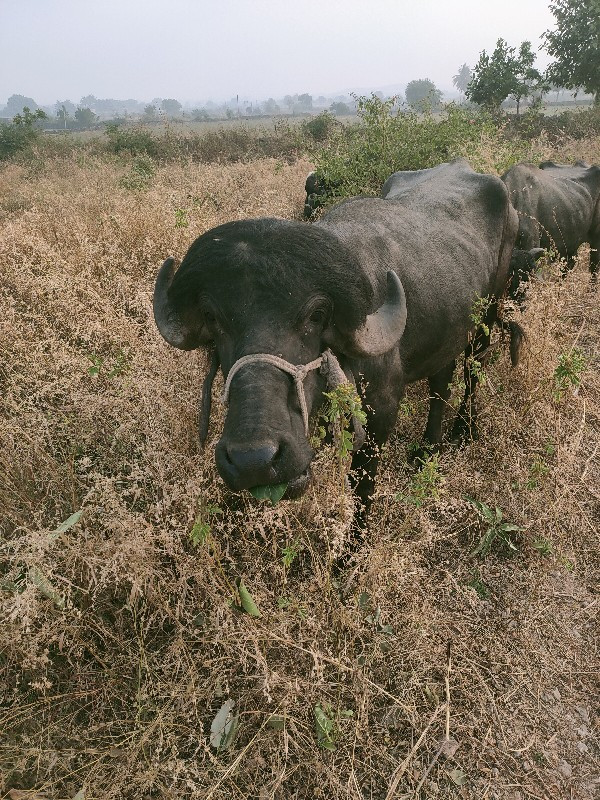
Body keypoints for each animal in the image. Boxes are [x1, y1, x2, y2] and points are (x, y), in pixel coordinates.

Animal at [155, 159, 520, 528]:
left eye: (317, 315)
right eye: (212, 316)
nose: (253, 460)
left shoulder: (380, 414)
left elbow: (362, 489)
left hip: (489, 313)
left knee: (472, 372)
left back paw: (463, 431)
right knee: (441, 380)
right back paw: (427, 450)